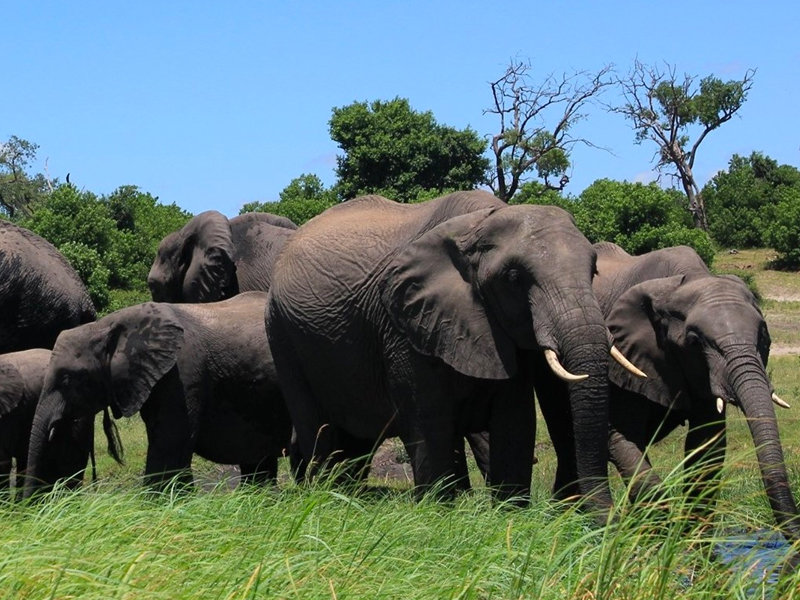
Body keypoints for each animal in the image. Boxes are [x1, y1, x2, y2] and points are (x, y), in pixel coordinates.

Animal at [268, 192, 644, 516]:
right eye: (514, 277)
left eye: (593, 271)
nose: (605, 522)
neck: (480, 225)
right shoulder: (404, 324)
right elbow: (429, 418)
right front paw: (436, 513)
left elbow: (514, 420)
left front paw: (510, 515)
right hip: (283, 334)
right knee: (318, 429)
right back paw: (327, 498)